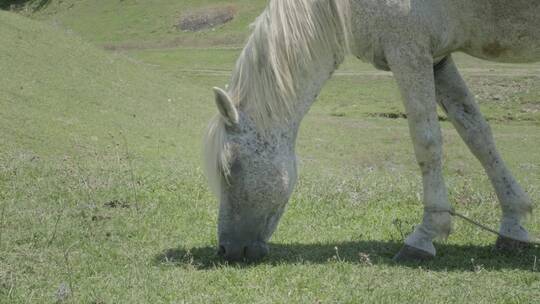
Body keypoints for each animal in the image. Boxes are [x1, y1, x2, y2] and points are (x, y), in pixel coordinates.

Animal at [204, 0, 540, 262]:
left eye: (231, 169)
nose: (227, 250)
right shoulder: (438, 60)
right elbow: (476, 133)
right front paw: (513, 225)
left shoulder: (409, 50)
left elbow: (427, 140)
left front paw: (425, 235)